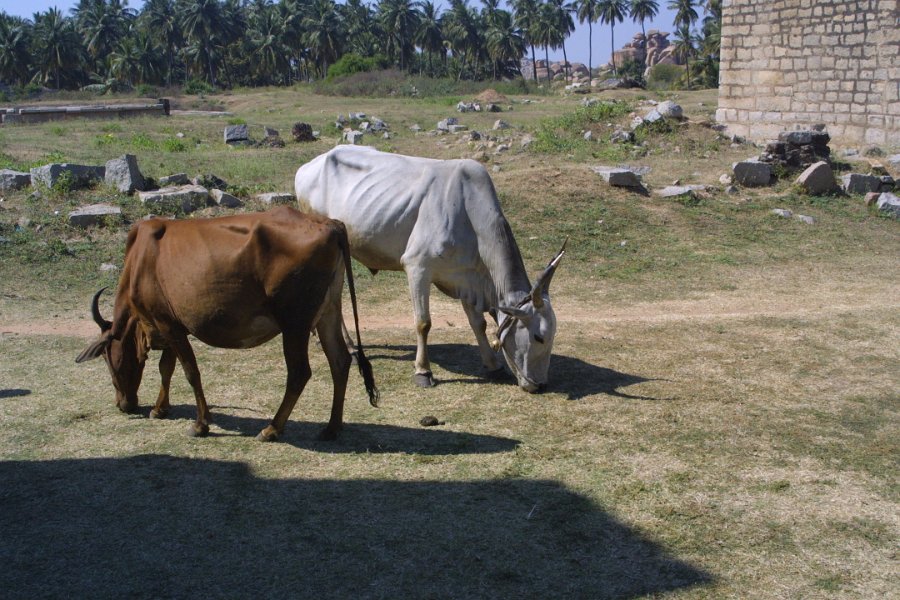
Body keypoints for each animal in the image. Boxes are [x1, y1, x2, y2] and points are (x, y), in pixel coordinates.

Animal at [75, 206, 378, 441]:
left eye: (108, 357)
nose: (123, 404)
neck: (140, 260)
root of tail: (330, 223)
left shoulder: (168, 324)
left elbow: (190, 372)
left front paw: (200, 424)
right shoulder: (170, 323)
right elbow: (166, 368)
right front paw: (160, 409)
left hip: (295, 322)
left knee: (299, 372)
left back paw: (272, 429)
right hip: (328, 312)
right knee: (340, 361)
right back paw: (331, 427)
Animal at [294, 145, 565, 392]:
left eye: (553, 335)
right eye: (538, 337)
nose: (540, 384)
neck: (468, 211)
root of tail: (308, 166)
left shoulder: (466, 276)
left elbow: (478, 323)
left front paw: (493, 365)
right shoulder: (417, 267)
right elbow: (423, 323)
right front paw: (423, 372)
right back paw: (348, 345)